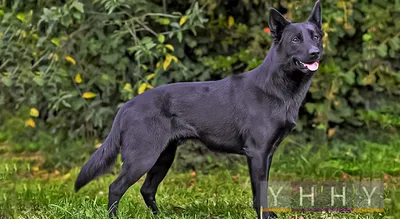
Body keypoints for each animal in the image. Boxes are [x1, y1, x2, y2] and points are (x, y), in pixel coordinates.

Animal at [76, 1, 324, 217]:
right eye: (295, 39)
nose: (315, 53)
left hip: (163, 157)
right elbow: (260, 192)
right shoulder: (257, 153)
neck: (276, 86)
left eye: (316, 37)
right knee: (116, 187)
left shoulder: (267, 154)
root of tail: (126, 106)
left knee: (146, 189)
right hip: (143, 157)